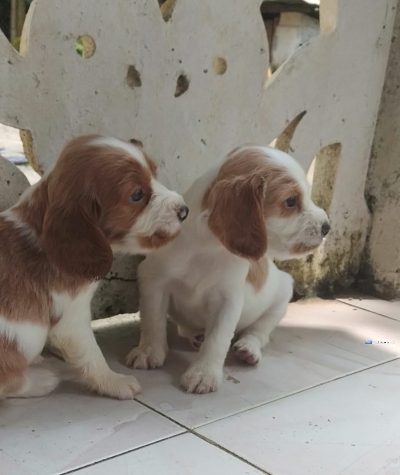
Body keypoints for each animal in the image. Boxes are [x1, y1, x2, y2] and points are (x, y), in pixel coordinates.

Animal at [0, 136, 188, 400]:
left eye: (155, 173)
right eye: (137, 194)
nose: (184, 210)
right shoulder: (72, 318)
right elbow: (92, 357)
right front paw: (115, 382)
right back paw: (41, 381)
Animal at [126, 145, 330, 394]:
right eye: (291, 201)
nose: (327, 227)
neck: (208, 247)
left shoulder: (228, 299)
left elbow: (218, 339)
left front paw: (204, 373)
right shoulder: (154, 281)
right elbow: (153, 322)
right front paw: (148, 352)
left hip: (282, 294)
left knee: (260, 333)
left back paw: (248, 349)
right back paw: (196, 336)